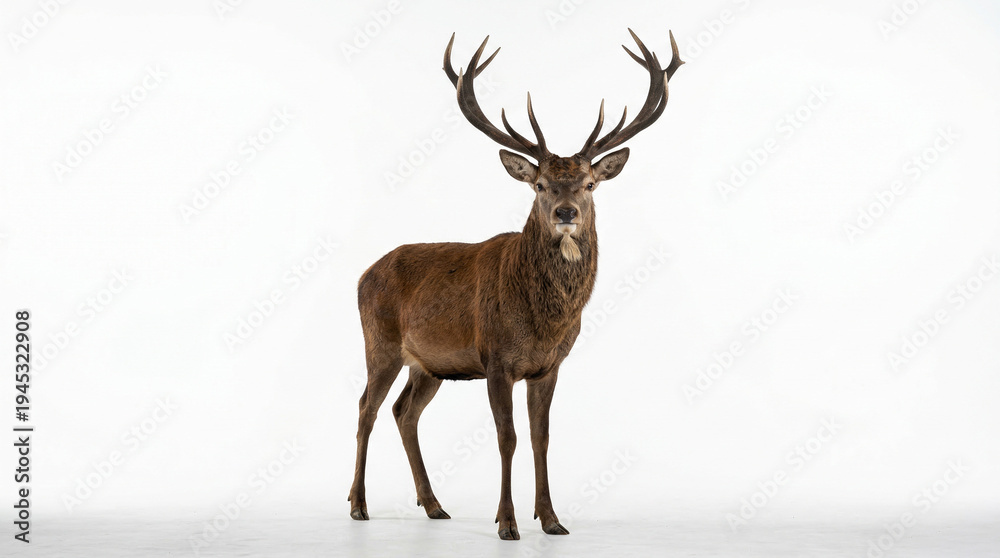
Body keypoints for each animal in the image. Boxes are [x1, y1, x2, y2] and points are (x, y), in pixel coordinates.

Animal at [350, 29, 683, 540]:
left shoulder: (549, 366)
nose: (566, 212)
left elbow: (540, 437)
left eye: (589, 183)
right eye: (540, 184)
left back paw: (434, 505)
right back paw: (358, 504)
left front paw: (551, 519)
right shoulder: (496, 358)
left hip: (429, 365)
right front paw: (507, 522)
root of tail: (362, 275)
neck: (543, 321)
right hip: (379, 342)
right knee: (365, 407)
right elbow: (506, 437)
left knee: (404, 412)